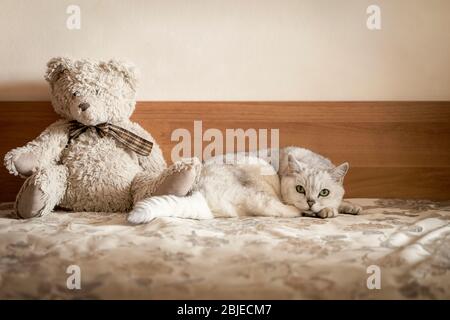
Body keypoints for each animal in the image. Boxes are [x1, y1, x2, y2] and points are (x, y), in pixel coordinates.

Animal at [127, 147, 362, 224]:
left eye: (324, 192)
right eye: (300, 189)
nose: (311, 202)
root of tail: (200, 193)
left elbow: (341, 202)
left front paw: (350, 207)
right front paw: (327, 211)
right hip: (259, 181)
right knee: (276, 209)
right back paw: (302, 213)